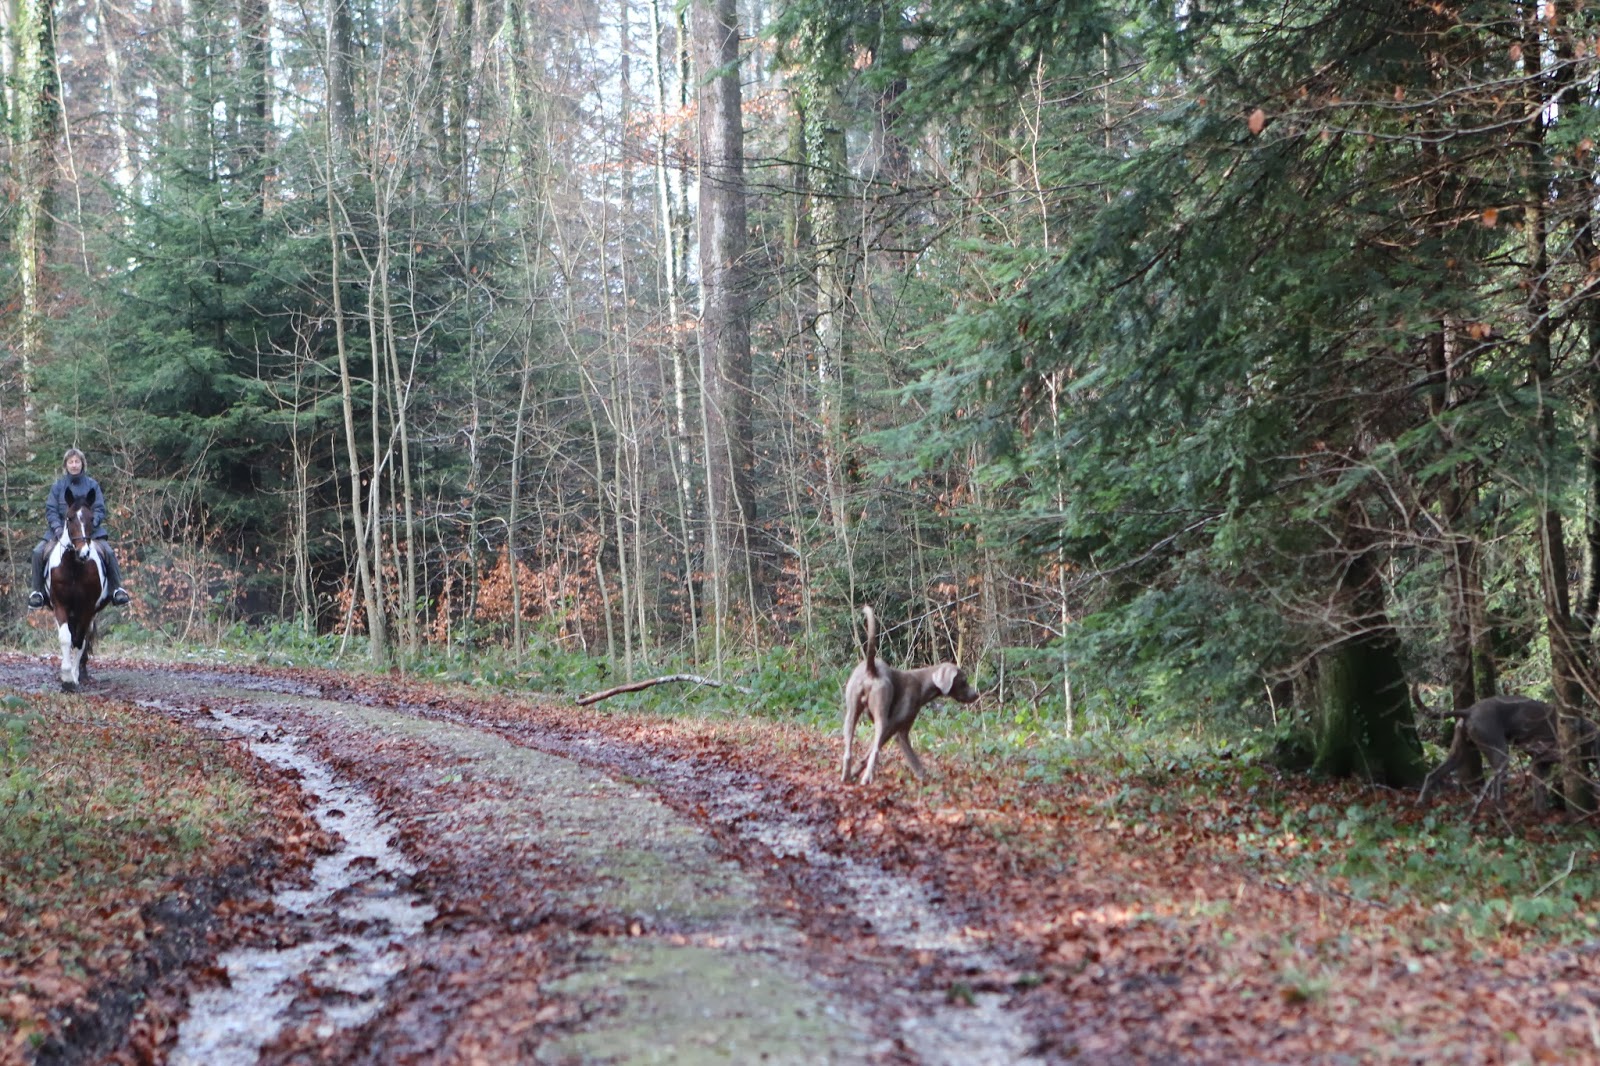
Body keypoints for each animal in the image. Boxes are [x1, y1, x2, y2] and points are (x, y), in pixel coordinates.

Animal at [841, 605, 979, 784]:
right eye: (963, 681)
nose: (976, 694)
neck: (922, 683)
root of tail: (871, 669)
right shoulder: (896, 729)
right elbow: (880, 752)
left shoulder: (899, 732)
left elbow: (912, 759)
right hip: (881, 716)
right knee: (875, 751)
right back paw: (867, 777)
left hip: (851, 713)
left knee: (848, 750)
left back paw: (845, 775)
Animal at [1418, 694, 1597, 809]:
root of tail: (1469, 711)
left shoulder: (1539, 763)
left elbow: (1539, 793)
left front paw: (1541, 814)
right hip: (1501, 752)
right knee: (1495, 790)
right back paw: (1503, 808)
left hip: (1458, 753)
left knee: (1431, 775)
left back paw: (1421, 802)